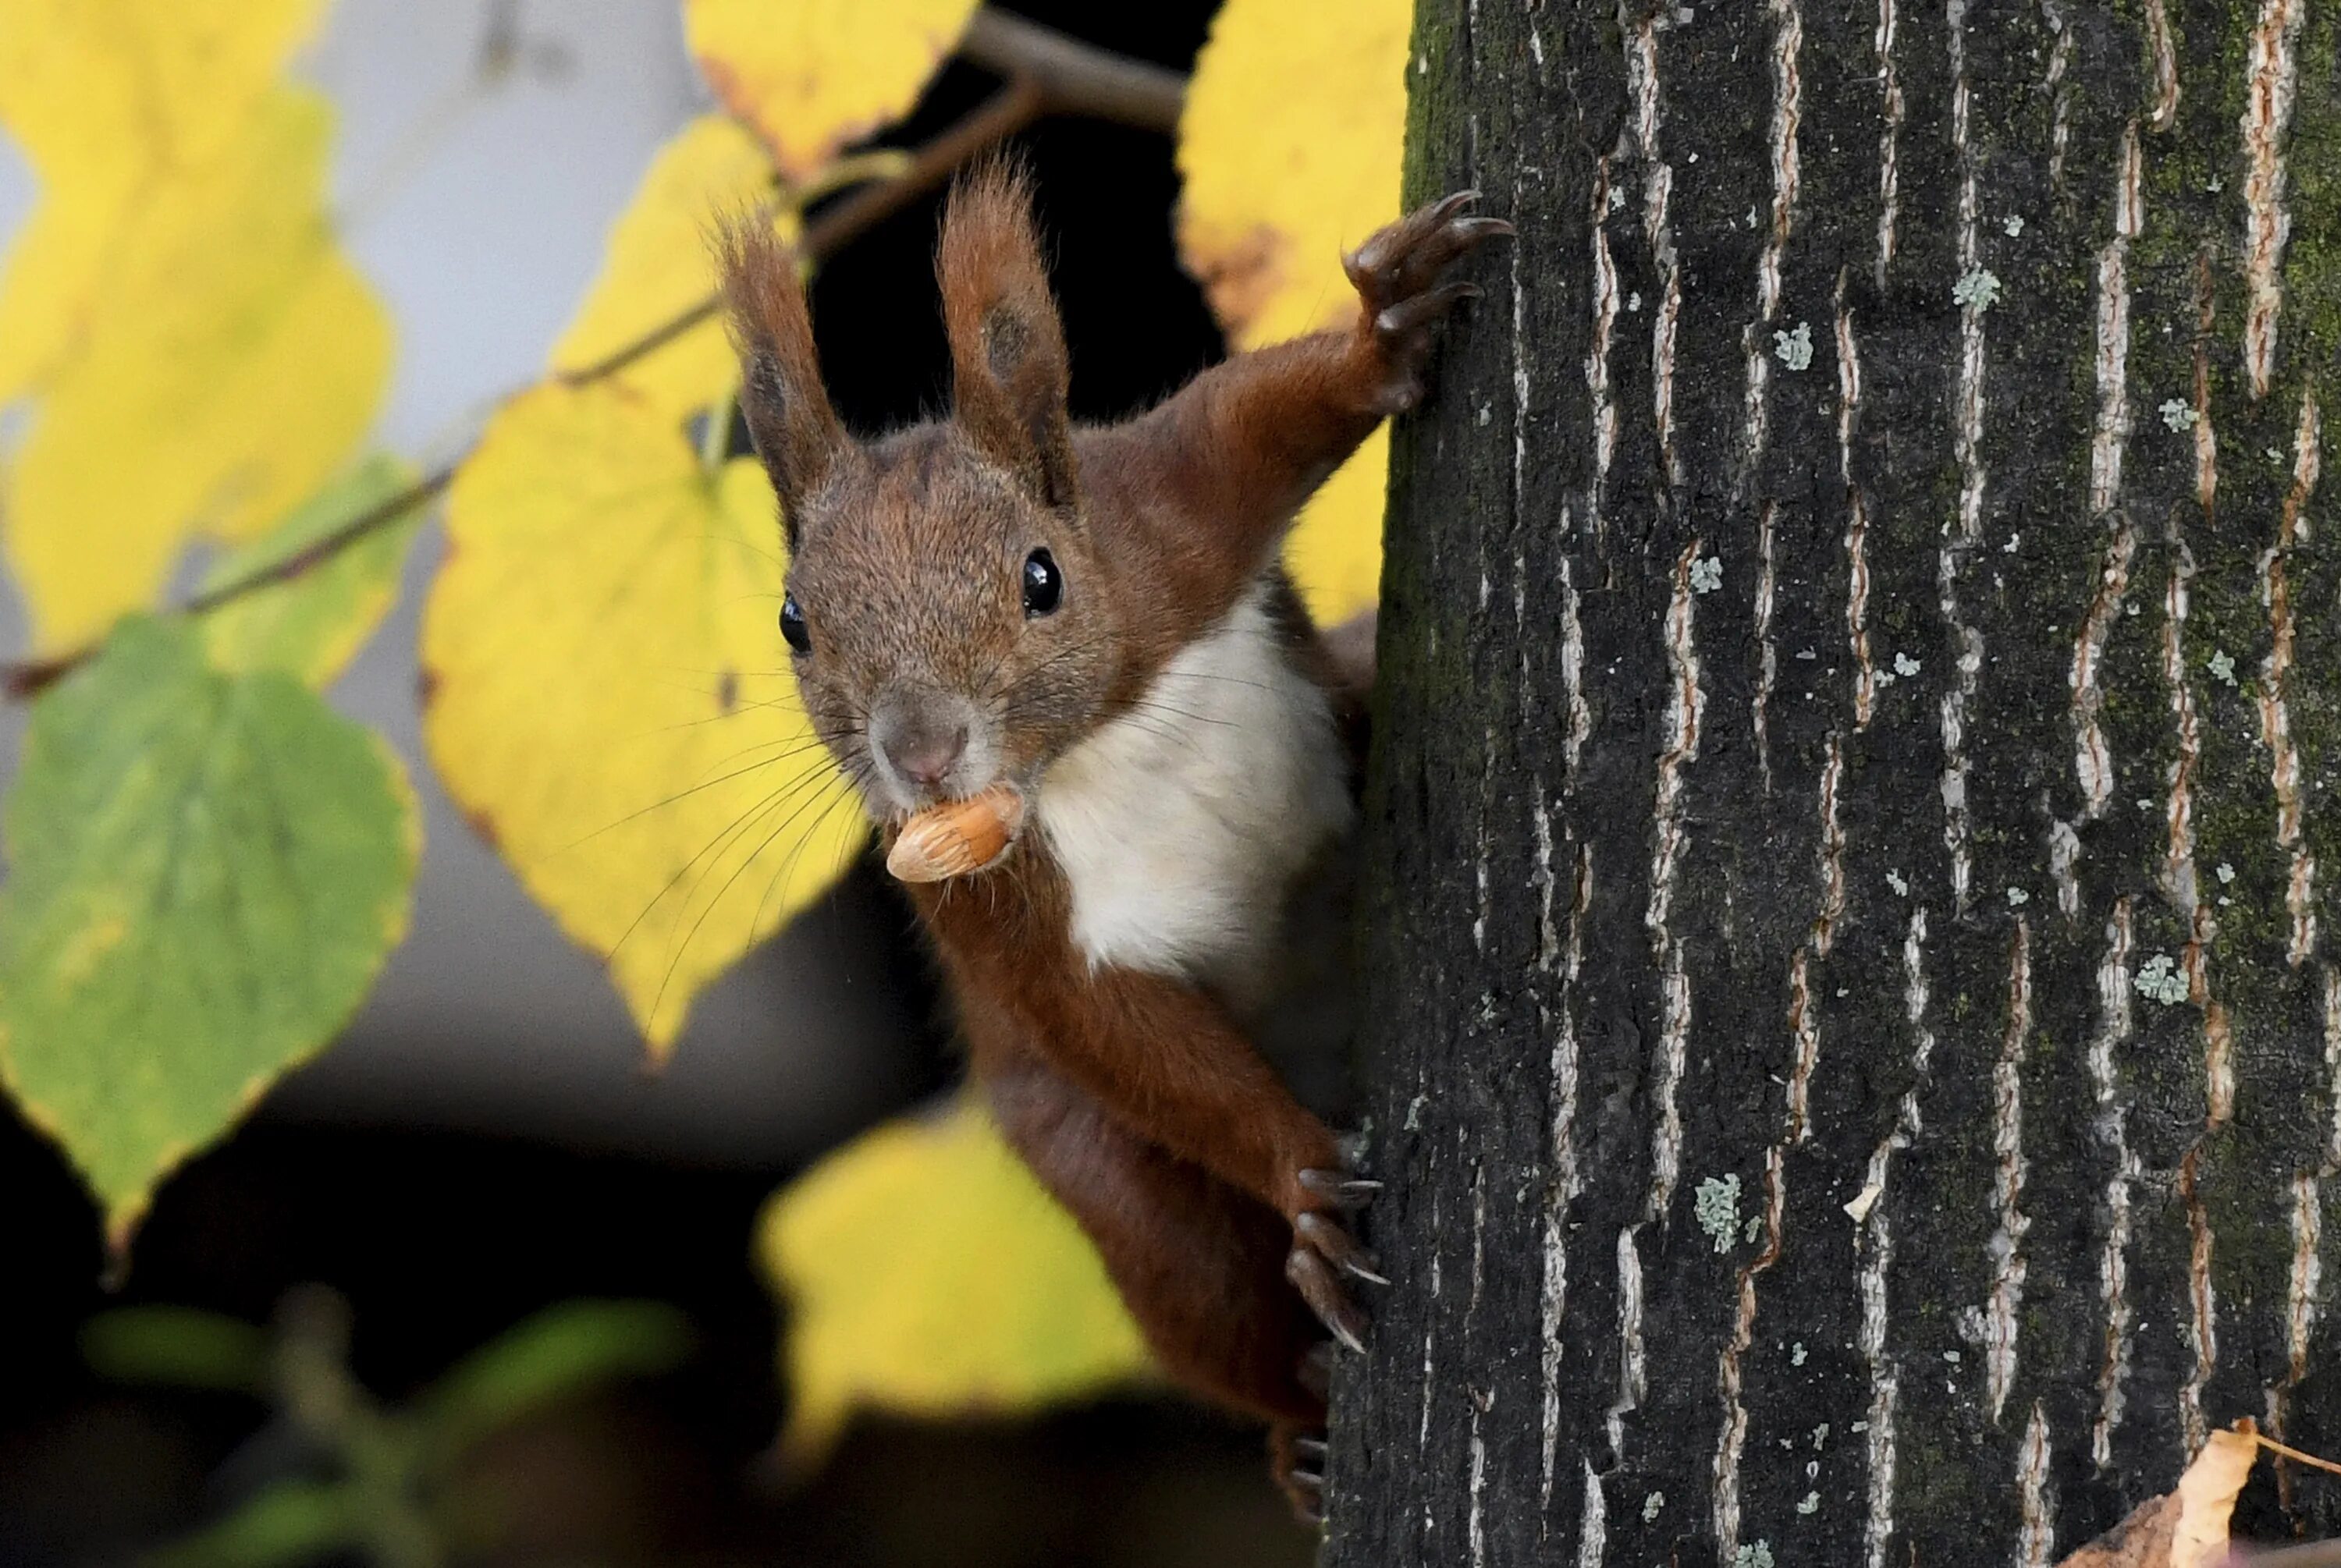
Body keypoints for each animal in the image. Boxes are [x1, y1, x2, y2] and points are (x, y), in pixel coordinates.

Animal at [721, 162, 1508, 1526]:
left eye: (1043, 577)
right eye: (793, 622)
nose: (923, 750)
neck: (1091, 743)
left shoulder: (1169, 521)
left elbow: (1262, 417)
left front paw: (1386, 326)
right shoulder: (982, 902)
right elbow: (1113, 1027)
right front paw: (1304, 1178)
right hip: (1122, 1200)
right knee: (1213, 1300)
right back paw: (1300, 1437)